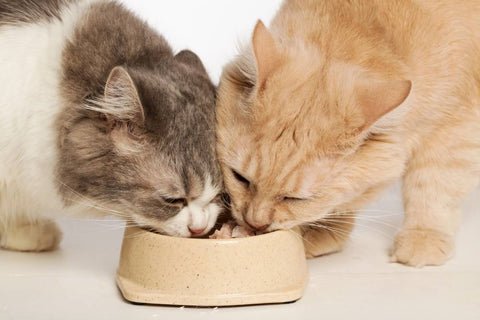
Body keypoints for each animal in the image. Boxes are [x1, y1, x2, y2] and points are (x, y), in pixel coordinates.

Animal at [218, 0, 480, 266]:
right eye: (240, 178)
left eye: (297, 199)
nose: (255, 223)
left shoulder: (455, 126)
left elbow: (432, 185)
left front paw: (423, 237)